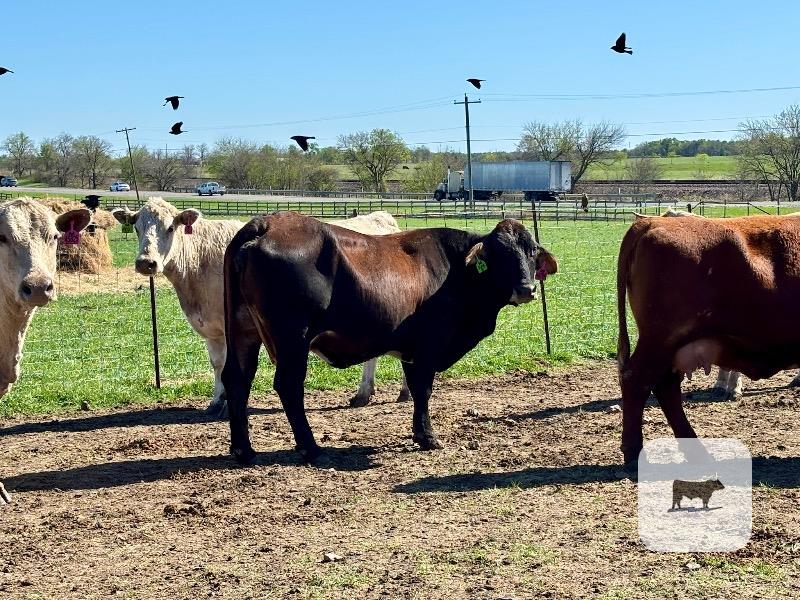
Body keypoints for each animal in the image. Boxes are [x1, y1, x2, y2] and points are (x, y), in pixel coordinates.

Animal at [112, 198, 408, 417]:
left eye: (170, 228)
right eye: (137, 227)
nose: (146, 263)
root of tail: (381, 218)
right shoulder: (212, 328)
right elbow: (217, 363)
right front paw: (216, 402)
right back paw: (364, 393)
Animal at [222, 212, 559, 464]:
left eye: (531, 251)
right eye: (498, 254)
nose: (527, 289)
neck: (455, 271)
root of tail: (266, 223)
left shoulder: (411, 349)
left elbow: (415, 388)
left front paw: (420, 433)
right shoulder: (428, 346)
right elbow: (423, 390)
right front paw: (429, 437)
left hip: (242, 332)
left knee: (236, 379)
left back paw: (243, 450)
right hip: (294, 338)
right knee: (289, 385)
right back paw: (311, 448)